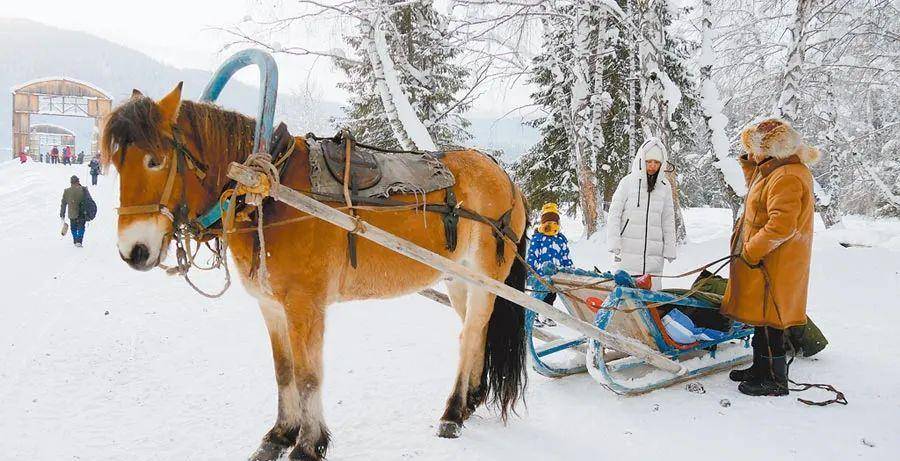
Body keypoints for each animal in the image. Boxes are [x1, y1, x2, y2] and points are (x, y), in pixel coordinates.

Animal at [103, 83, 532, 460]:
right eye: (117, 164)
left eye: (155, 160)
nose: (132, 251)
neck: (264, 193)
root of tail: (509, 180)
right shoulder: (271, 306)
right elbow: (284, 371)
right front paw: (279, 435)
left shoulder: (305, 304)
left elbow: (309, 375)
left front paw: (309, 444)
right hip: (458, 280)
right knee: (476, 334)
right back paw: (470, 400)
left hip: (485, 280)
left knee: (469, 335)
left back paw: (453, 411)